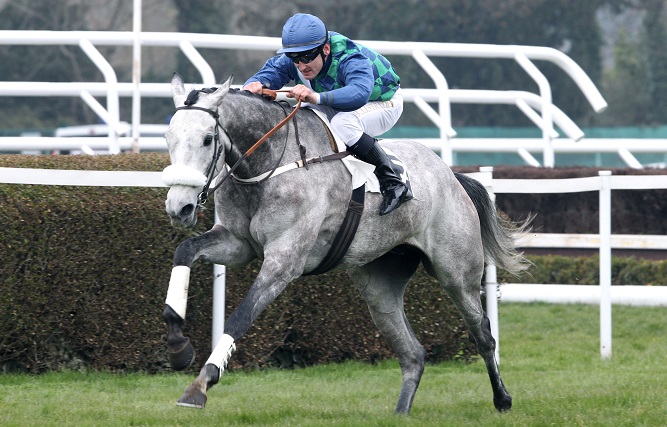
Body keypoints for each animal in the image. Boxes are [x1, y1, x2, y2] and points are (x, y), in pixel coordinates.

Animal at [159, 72, 528, 414]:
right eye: (168, 136)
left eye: (208, 139)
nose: (180, 207)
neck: (270, 163)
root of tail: (452, 176)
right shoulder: (238, 244)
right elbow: (184, 251)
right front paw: (178, 344)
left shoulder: (284, 260)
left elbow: (241, 317)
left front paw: (200, 385)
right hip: (380, 287)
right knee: (413, 353)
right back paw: (401, 412)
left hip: (456, 273)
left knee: (482, 333)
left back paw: (503, 399)